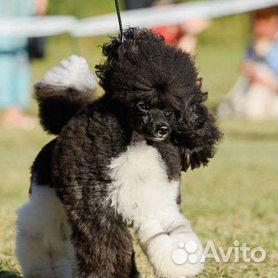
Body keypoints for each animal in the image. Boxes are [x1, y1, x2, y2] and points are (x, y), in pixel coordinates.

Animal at [16, 28, 222, 278]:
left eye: (171, 110)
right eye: (143, 105)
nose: (162, 129)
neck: (137, 143)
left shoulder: (156, 204)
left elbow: (165, 233)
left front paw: (181, 261)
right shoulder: (100, 213)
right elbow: (107, 250)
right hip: (46, 199)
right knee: (44, 238)